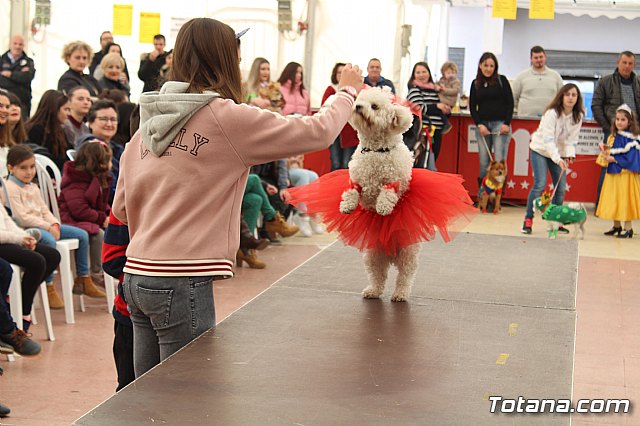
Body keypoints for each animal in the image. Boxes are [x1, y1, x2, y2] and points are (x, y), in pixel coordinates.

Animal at [340, 88, 420, 302]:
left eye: (375, 106)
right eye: (359, 100)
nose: (358, 107)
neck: (375, 149)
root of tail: (390, 256)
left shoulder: (394, 180)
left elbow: (386, 193)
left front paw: (383, 207)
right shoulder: (358, 179)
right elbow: (352, 191)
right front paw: (347, 205)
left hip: (407, 254)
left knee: (404, 276)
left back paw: (400, 294)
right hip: (372, 255)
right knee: (378, 275)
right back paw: (372, 291)